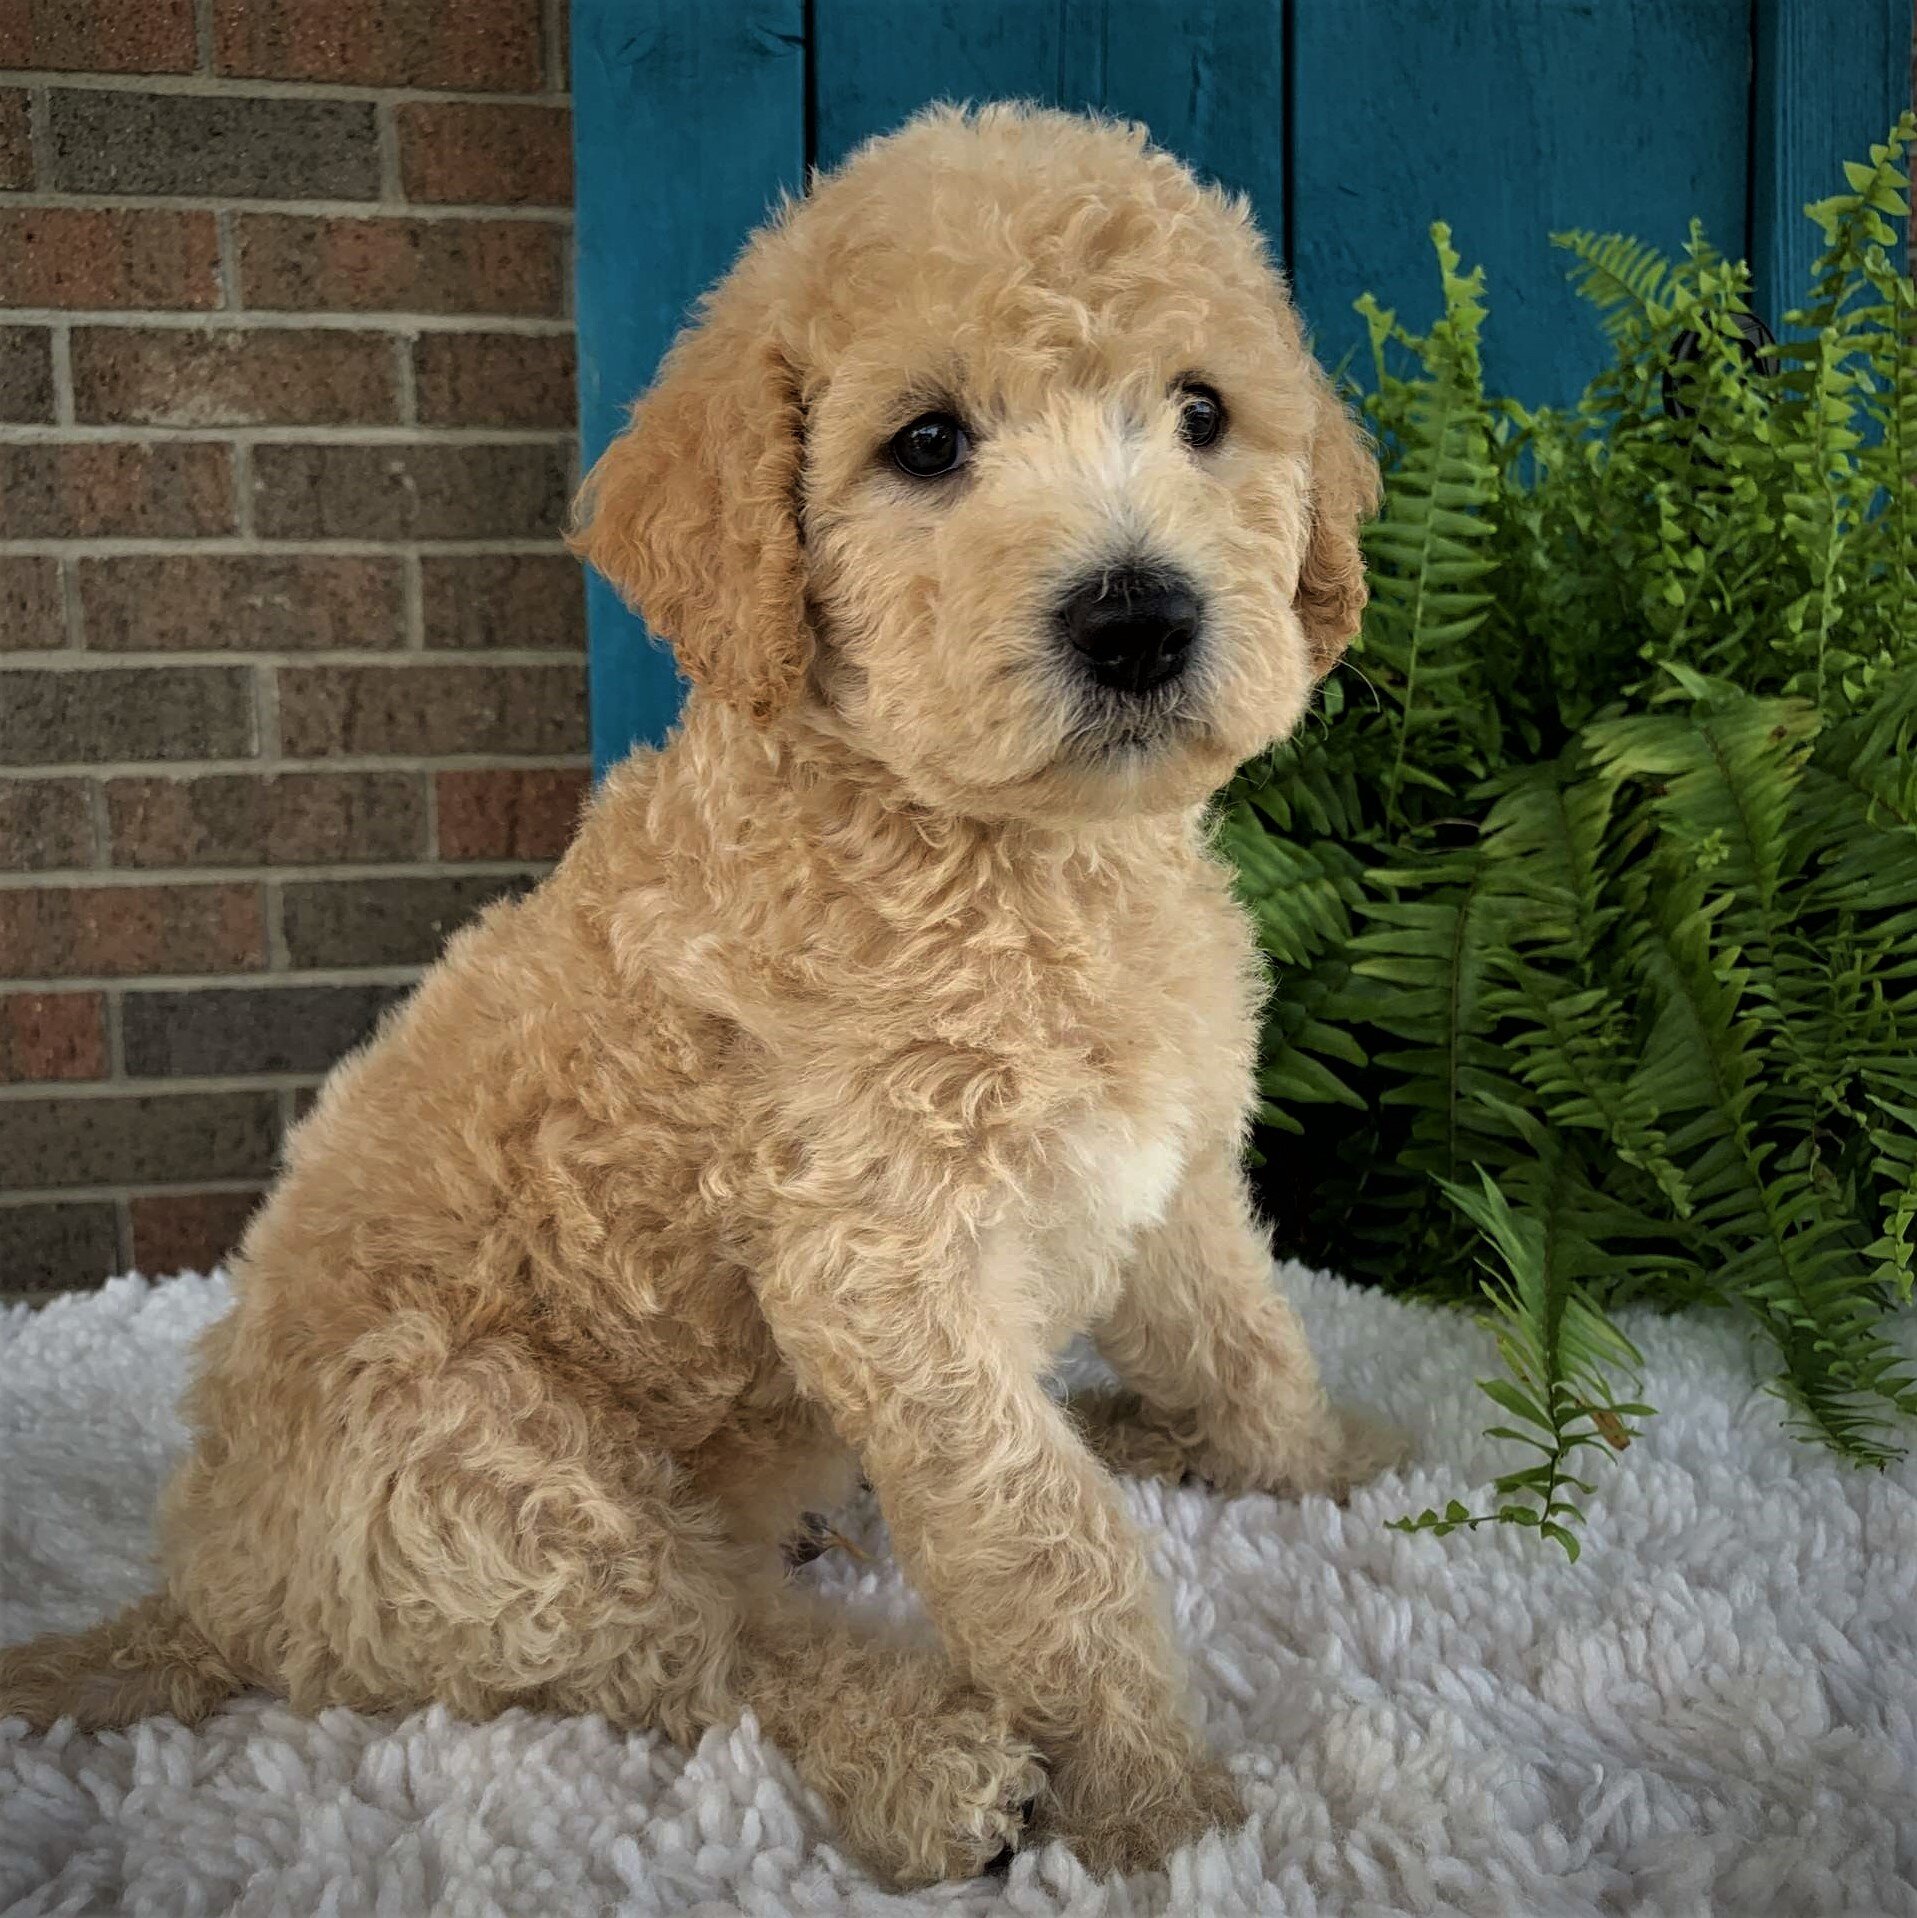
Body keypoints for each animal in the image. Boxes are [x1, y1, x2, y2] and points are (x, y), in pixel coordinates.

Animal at [7, 105, 1404, 1887]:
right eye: (928, 443)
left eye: (1205, 414)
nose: (1140, 614)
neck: (1011, 855)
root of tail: (210, 1590)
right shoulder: (886, 1264)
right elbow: (1045, 1537)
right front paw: (1161, 1808)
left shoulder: (1165, 1167)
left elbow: (1243, 1333)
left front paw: (1324, 1463)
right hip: (485, 1471)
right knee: (705, 1643)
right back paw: (924, 1757)